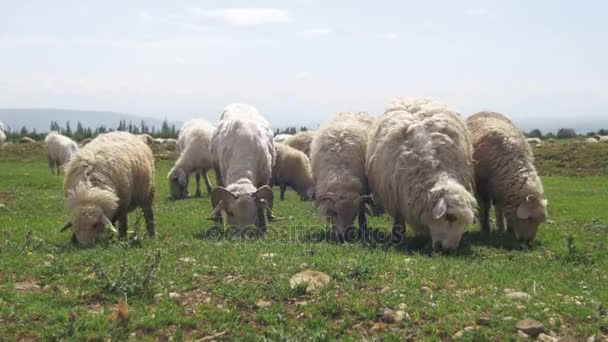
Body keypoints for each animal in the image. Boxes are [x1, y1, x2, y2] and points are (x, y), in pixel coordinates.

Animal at [209, 103, 276, 234]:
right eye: (230, 213)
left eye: (253, 213)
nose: (243, 235)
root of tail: (239, 103)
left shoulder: (265, 179)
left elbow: (262, 207)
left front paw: (262, 229)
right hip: (217, 169)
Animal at [314, 112, 376, 240]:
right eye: (336, 213)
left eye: (354, 215)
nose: (344, 237)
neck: (342, 176)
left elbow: (362, 214)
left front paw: (363, 229)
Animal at [364, 97, 478, 252]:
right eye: (450, 217)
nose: (449, 250)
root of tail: (412, 99)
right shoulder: (396, 194)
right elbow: (399, 218)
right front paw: (398, 236)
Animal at [468, 111, 548, 242]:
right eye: (529, 218)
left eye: (540, 221)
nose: (528, 242)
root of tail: (484, 111)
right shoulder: (483, 188)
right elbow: (485, 208)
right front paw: (486, 228)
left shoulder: (501, 189)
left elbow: (502, 208)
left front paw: (505, 229)